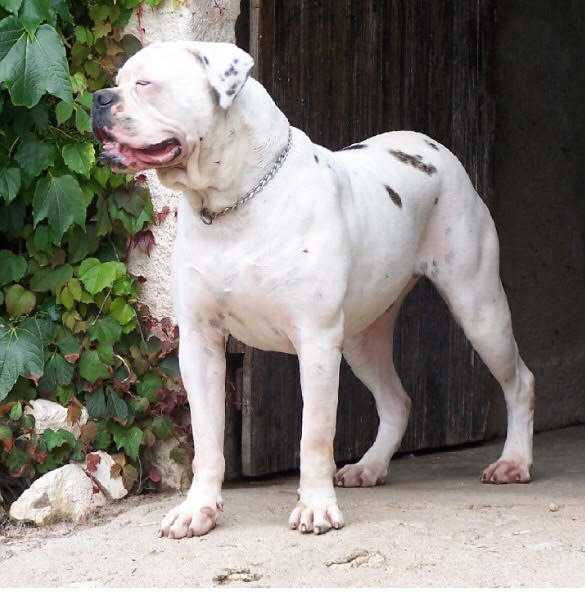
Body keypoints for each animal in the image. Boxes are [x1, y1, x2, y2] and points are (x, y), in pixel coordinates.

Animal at [92, 40, 532, 536]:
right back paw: (370, 466)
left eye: (146, 83)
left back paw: (515, 462)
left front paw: (316, 506)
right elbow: (207, 438)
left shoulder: (317, 341)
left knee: (519, 382)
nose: (98, 98)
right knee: (396, 401)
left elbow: (315, 435)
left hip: (478, 308)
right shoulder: (200, 344)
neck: (233, 200)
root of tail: (432, 145)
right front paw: (197, 509)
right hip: (363, 339)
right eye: (118, 80)